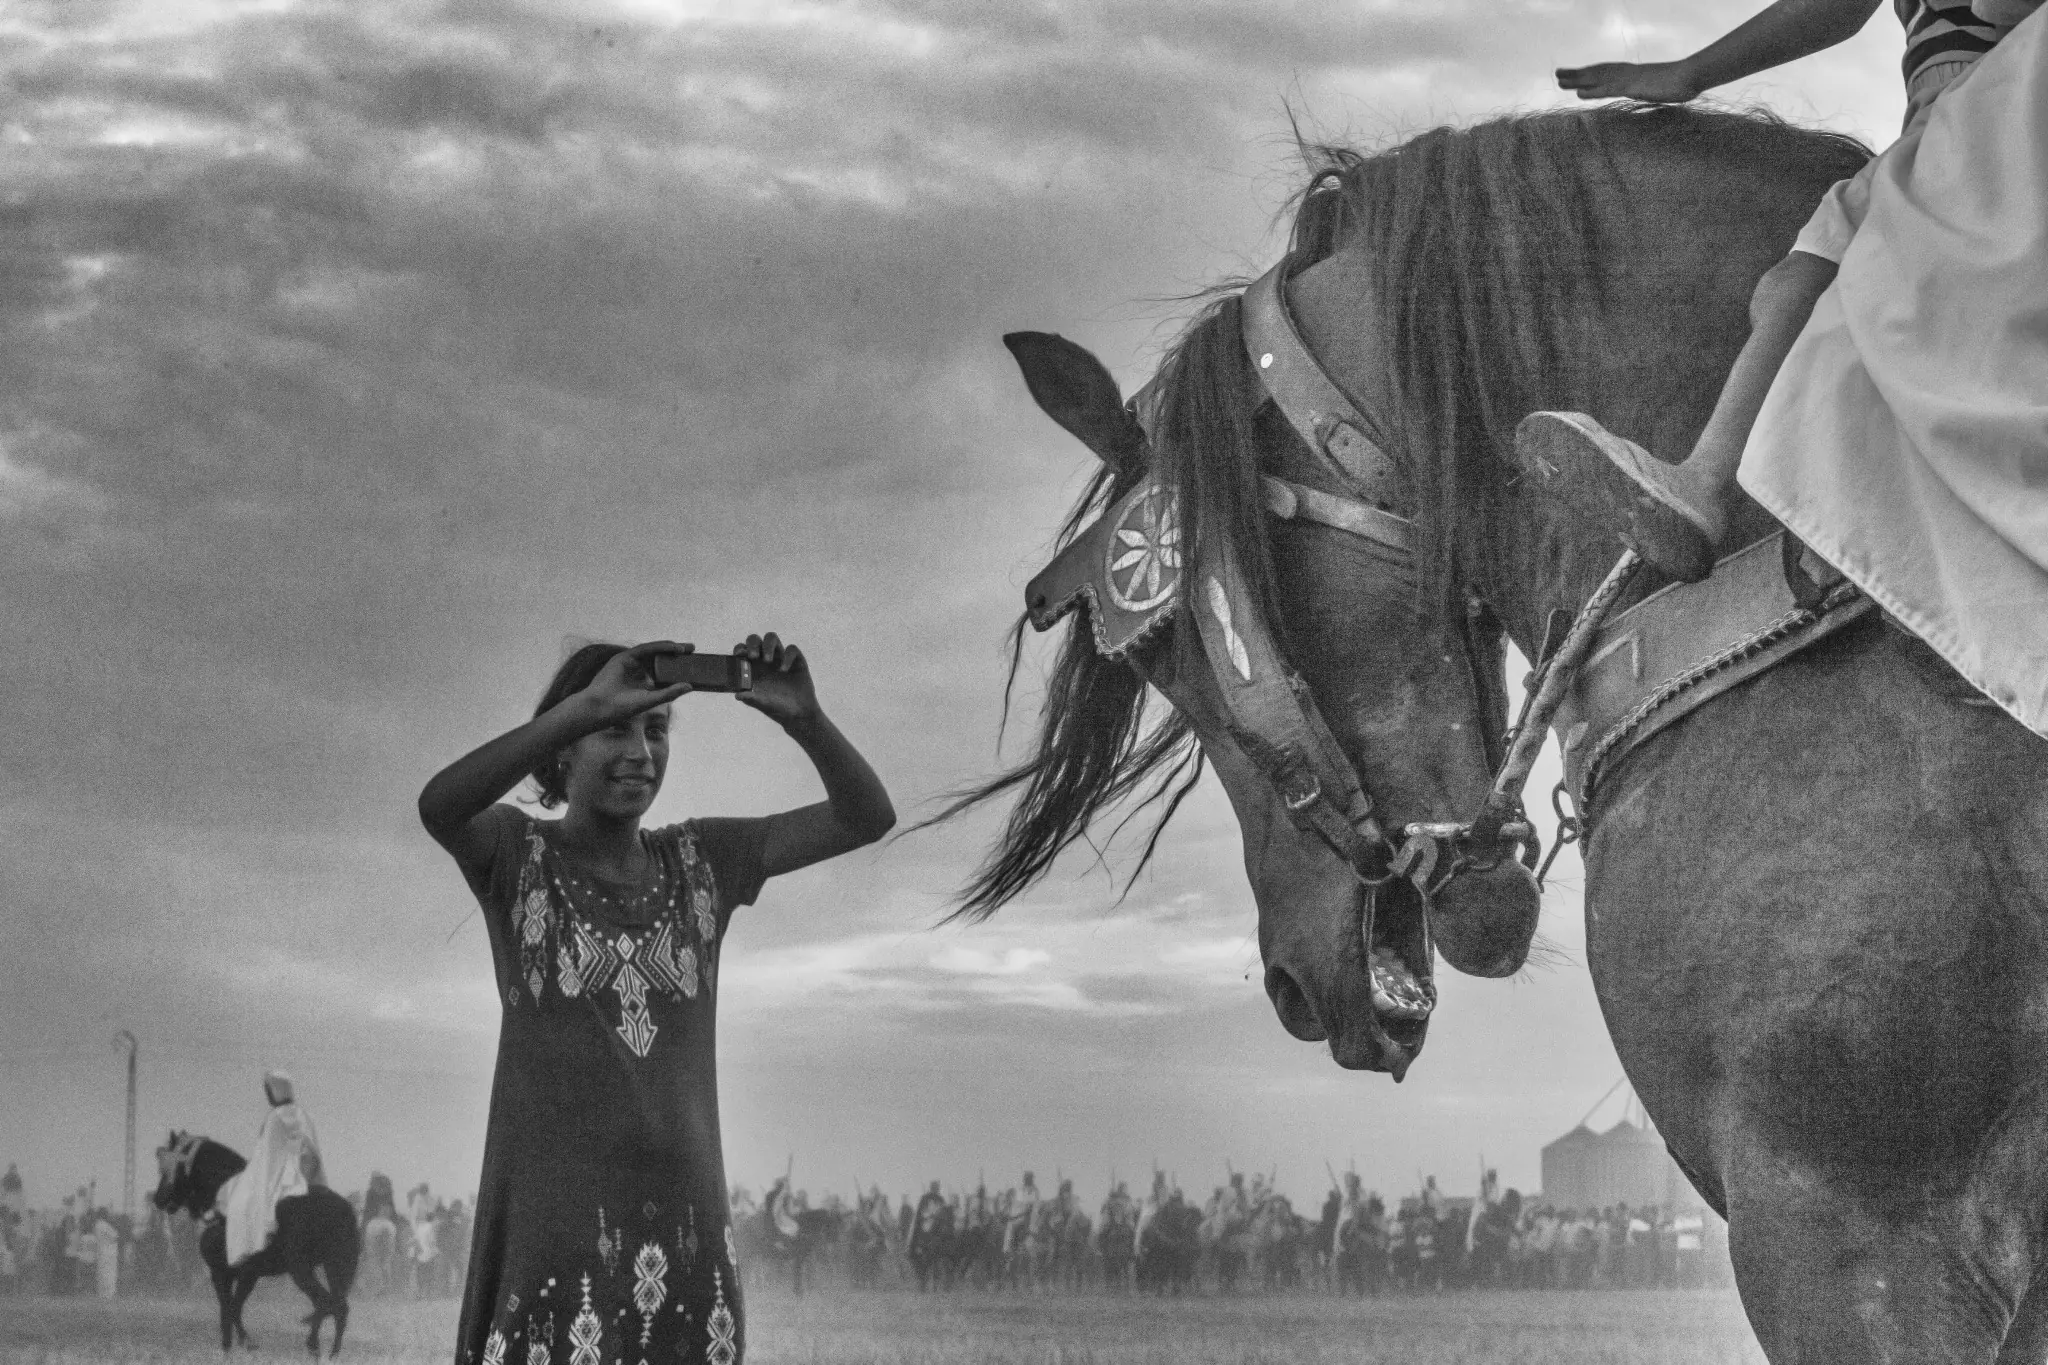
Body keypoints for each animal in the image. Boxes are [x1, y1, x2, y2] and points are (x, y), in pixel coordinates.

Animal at [151, 1132, 360, 1356]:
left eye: (173, 1166)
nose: (158, 1199)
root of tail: (343, 1208)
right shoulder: (247, 1274)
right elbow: (233, 1308)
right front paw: (241, 1342)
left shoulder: (222, 1273)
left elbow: (229, 1310)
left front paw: (234, 1345)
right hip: (334, 1267)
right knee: (338, 1307)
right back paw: (331, 1352)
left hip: (302, 1270)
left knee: (326, 1302)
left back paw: (314, 1344)